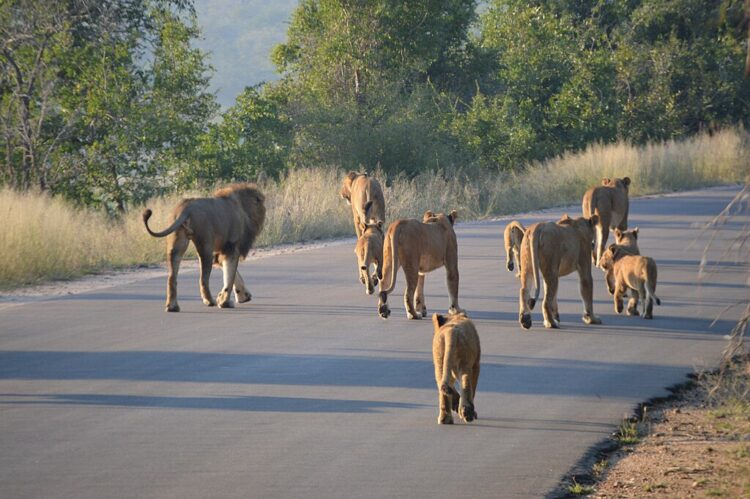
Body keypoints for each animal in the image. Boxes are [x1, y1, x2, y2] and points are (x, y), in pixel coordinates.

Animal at [142, 183, 266, 312]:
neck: (242, 206)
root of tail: (186, 208)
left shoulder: (221, 251)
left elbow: (234, 274)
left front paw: (241, 296)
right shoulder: (231, 247)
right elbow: (230, 276)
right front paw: (225, 302)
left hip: (176, 244)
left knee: (172, 277)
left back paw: (172, 306)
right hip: (205, 246)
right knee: (203, 280)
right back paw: (210, 301)